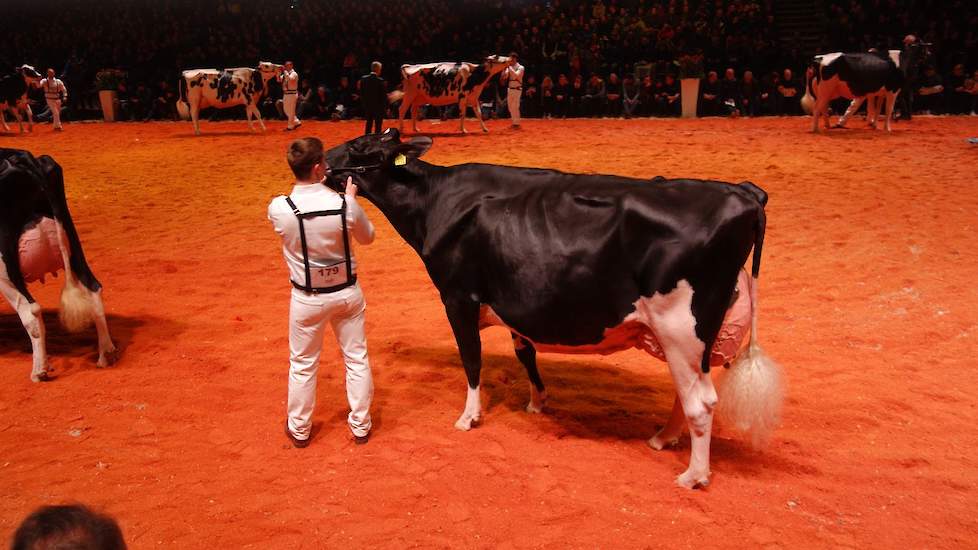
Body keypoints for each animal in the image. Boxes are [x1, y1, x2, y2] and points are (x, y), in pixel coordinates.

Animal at [1, 149, 116, 386]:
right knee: (93, 286)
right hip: (72, 239)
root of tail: (22, 157)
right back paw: (105, 354)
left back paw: (39, 371)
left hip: (3, 263)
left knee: (30, 311)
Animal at [328, 130, 784, 492]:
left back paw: (694, 476)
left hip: (680, 325)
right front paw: (538, 401)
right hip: (689, 337)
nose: (326, 158)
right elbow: (524, 350)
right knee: (687, 390)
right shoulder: (514, 297)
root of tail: (743, 193)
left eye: (362, 146)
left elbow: (472, 359)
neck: (435, 201)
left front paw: (469, 417)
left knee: (701, 402)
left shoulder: (457, 296)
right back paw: (663, 438)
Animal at [386, 55, 516, 134]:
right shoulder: (463, 97)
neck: (473, 74)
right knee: (402, 109)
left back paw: (416, 128)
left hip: (419, 97)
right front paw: (463, 130)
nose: (510, 58)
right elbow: (462, 114)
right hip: (409, 94)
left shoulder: (473, 97)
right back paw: (401, 129)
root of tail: (409, 66)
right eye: (499, 58)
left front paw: (485, 128)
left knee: (413, 110)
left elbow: (479, 113)